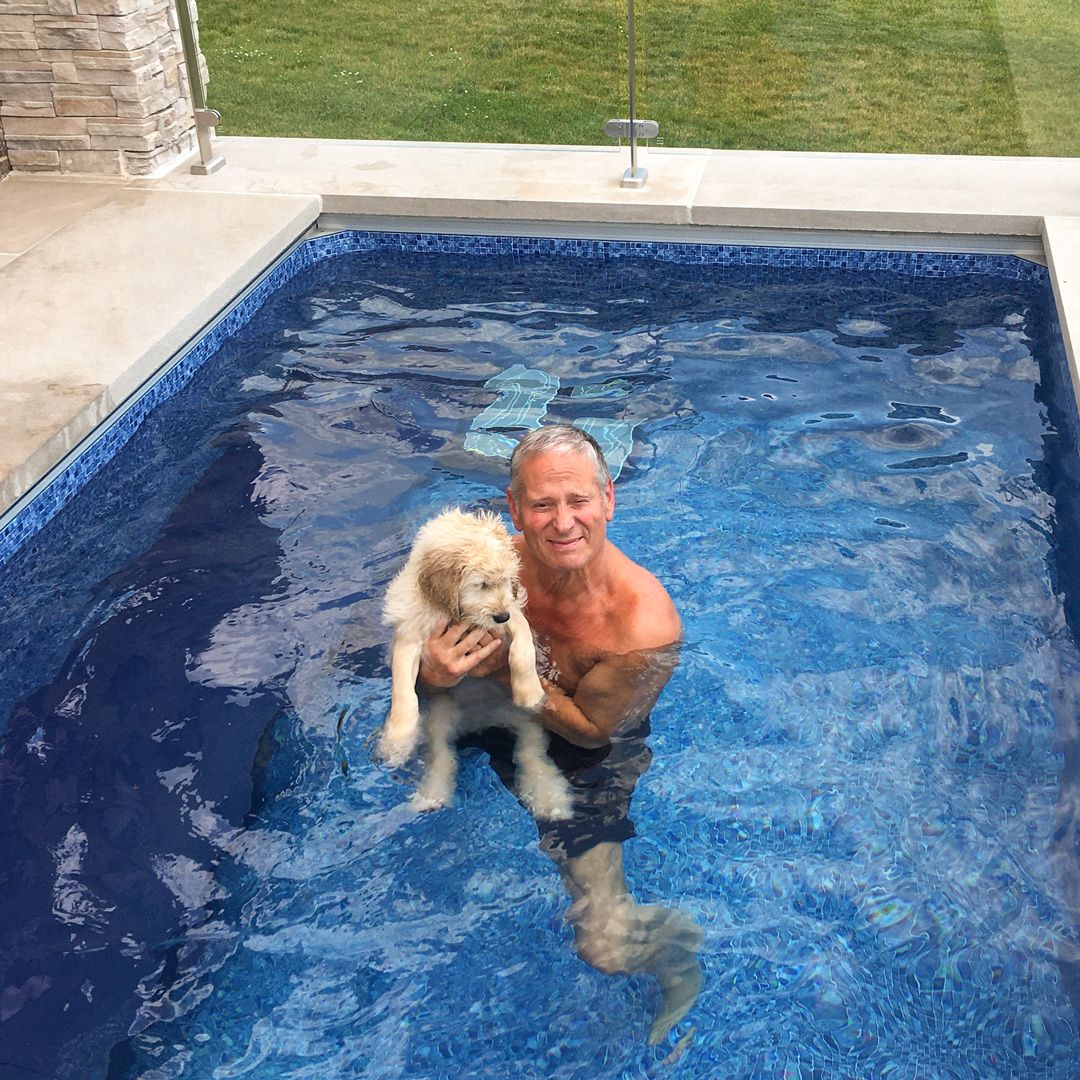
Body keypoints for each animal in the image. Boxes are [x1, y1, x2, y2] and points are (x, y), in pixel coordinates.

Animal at [378, 505, 574, 816]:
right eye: (481, 584)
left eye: (507, 580)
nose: (500, 616)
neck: (455, 614)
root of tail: (481, 720)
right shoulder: (409, 636)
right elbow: (403, 691)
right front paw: (397, 739)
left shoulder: (514, 616)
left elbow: (522, 648)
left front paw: (529, 690)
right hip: (439, 720)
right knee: (442, 755)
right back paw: (433, 794)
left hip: (527, 721)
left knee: (530, 751)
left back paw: (548, 797)